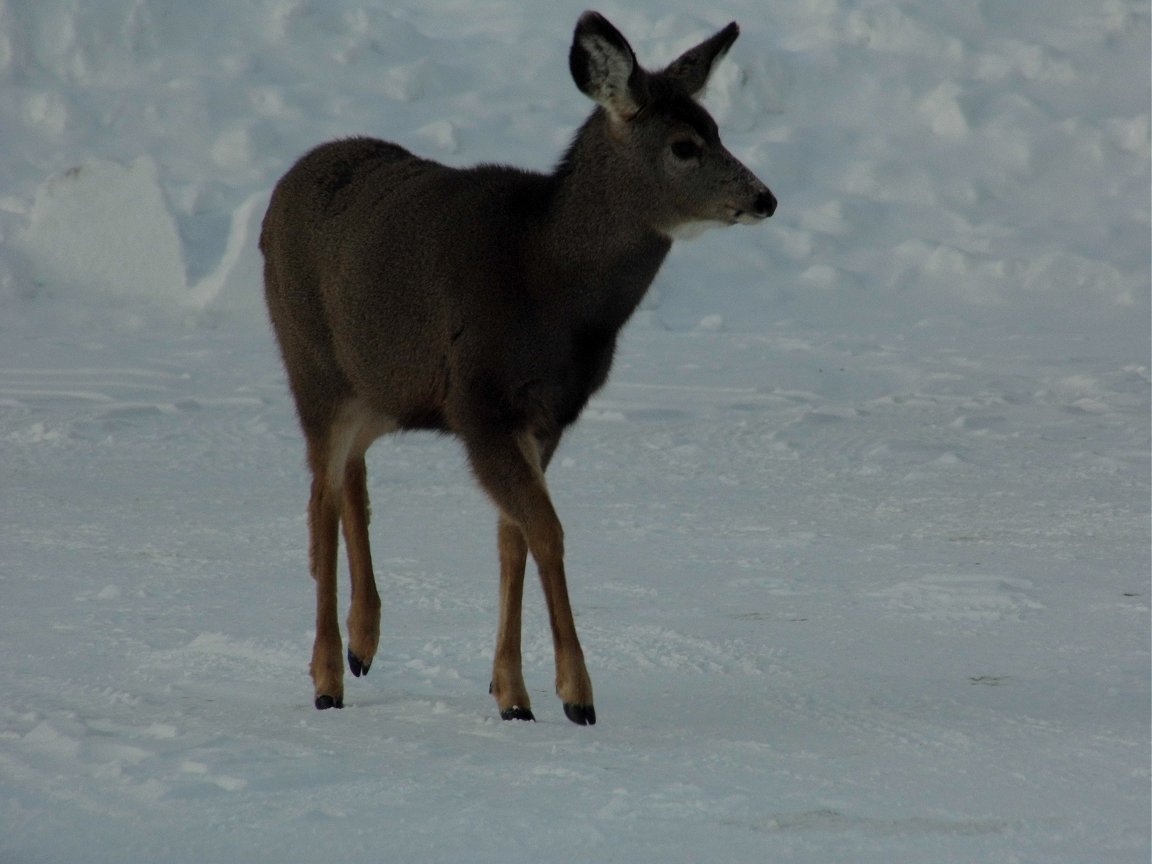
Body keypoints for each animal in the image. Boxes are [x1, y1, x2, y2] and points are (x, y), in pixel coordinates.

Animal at [261, 10, 774, 728]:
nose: (764, 198)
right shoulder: (481, 403)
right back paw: (329, 675)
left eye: (719, 129)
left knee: (352, 480)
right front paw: (576, 693)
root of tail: (282, 187)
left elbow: (513, 539)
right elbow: (547, 531)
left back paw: (365, 641)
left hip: (381, 387)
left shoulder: (546, 416)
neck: (552, 284)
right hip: (311, 362)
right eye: (684, 145)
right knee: (322, 497)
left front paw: (511, 692)